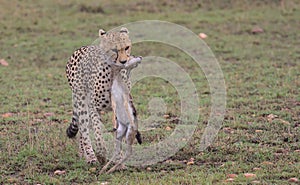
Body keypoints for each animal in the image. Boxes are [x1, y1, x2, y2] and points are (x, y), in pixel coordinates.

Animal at [64, 27, 142, 163]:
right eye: (114, 50)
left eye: (127, 47)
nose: (123, 61)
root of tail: (81, 48)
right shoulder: (94, 107)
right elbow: (97, 130)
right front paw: (101, 152)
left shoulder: (120, 107)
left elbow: (117, 134)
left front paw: (118, 157)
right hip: (81, 101)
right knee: (84, 129)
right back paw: (90, 156)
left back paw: (83, 153)